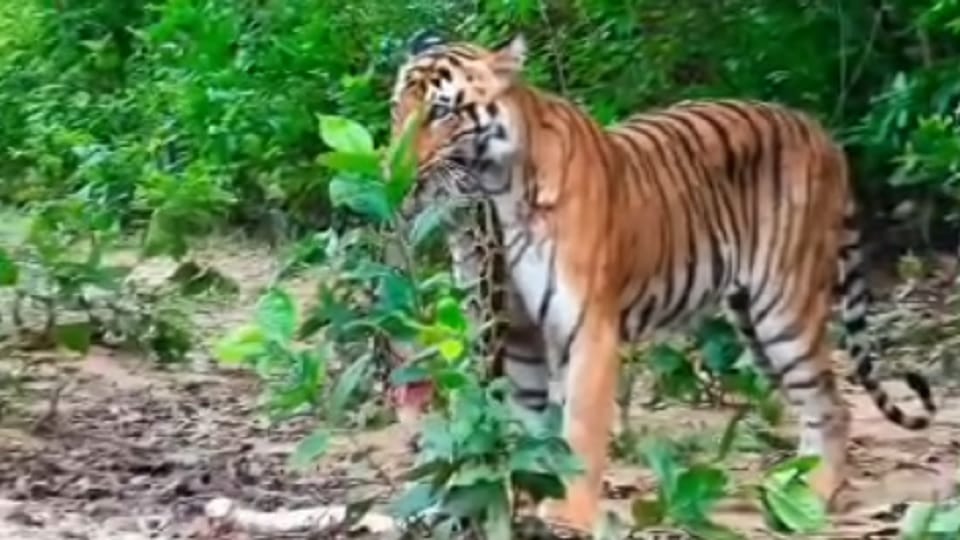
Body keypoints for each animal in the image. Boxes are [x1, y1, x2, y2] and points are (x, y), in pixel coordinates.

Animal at [387, 31, 938, 532]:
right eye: (397, 108)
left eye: (440, 112)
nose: (396, 171)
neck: (500, 189)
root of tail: (823, 135)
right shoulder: (520, 337)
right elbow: (528, 428)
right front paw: (517, 501)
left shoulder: (590, 328)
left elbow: (581, 426)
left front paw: (568, 514)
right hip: (753, 321)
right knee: (814, 401)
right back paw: (791, 488)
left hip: (783, 308)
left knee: (833, 403)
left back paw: (815, 496)